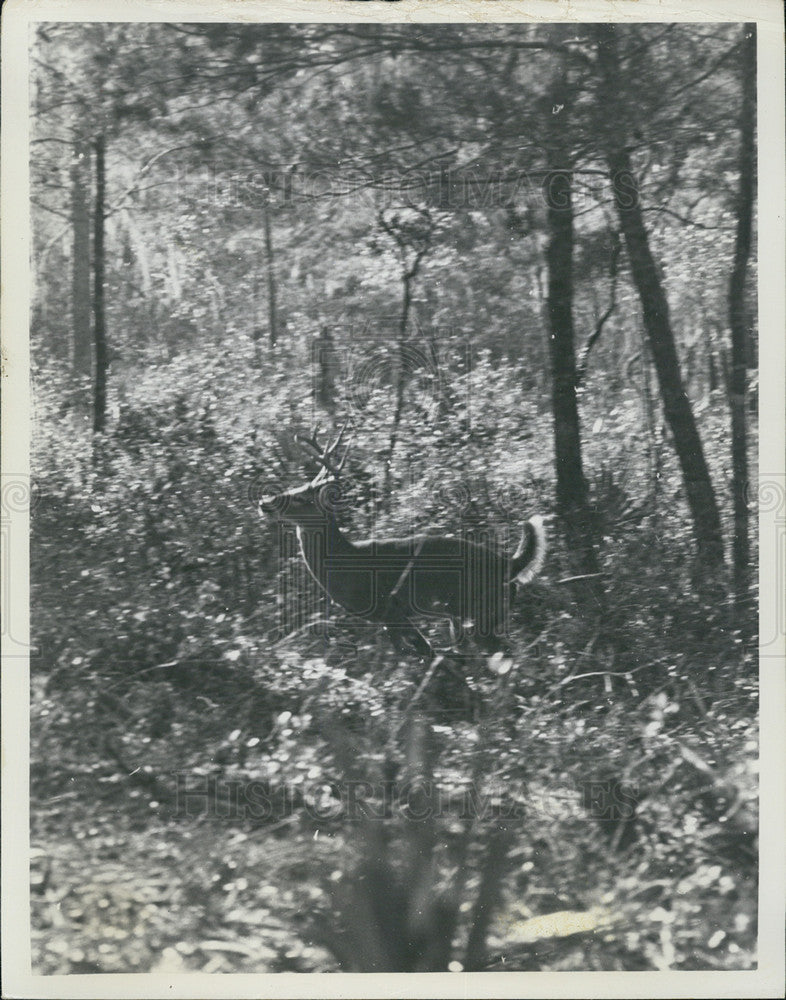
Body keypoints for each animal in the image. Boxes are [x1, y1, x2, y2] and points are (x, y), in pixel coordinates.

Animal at [258, 426, 544, 660]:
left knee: (507, 652)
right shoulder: (388, 619)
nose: (265, 501)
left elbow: (423, 653)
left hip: (481, 609)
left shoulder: (391, 609)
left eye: (302, 498)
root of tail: (510, 563)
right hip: (468, 616)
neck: (347, 565)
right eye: (296, 487)